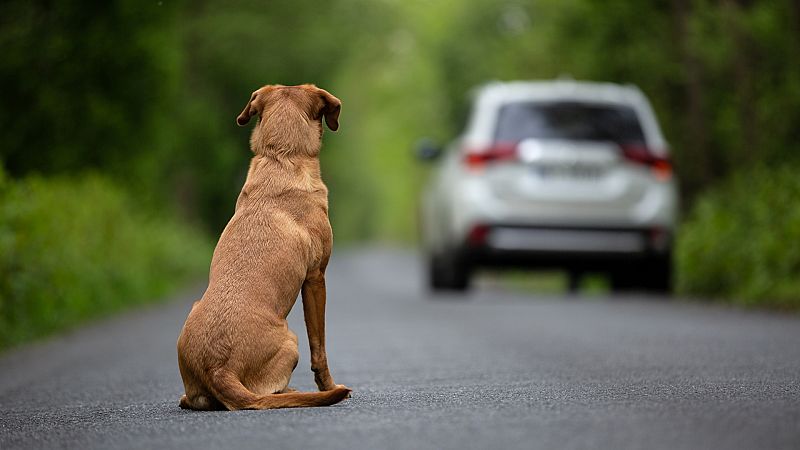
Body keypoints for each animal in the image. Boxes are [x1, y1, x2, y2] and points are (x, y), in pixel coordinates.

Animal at [178, 82, 350, 410]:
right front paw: (329, 385)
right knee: (271, 391)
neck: (281, 157)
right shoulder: (316, 278)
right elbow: (319, 347)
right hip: (291, 340)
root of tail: (218, 368)